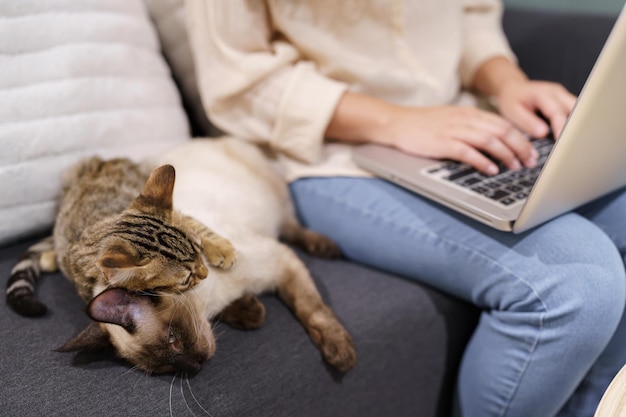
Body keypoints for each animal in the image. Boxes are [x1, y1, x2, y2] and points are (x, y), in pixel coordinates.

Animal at [7, 136, 356, 374]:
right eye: (166, 368)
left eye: (173, 339)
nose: (195, 366)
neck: (211, 301)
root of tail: (208, 138)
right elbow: (256, 313)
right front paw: (250, 311)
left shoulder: (281, 262)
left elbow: (314, 310)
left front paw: (340, 355)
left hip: (278, 201)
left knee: (293, 225)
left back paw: (326, 247)